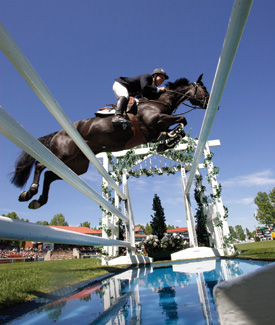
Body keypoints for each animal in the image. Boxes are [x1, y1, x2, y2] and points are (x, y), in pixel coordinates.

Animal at [10, 74, 209, 209]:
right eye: (204, 89)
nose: (209, 103)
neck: (158, 102)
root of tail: (59, 132)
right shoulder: (156, 121)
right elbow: (183, 120)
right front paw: (169, 139)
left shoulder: (155, 130)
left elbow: (178, 128)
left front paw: (167, 142)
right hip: (63, 153)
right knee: (40, 166)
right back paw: (29, 192)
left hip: (77, 164)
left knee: (51, 176)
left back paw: (38, 201)